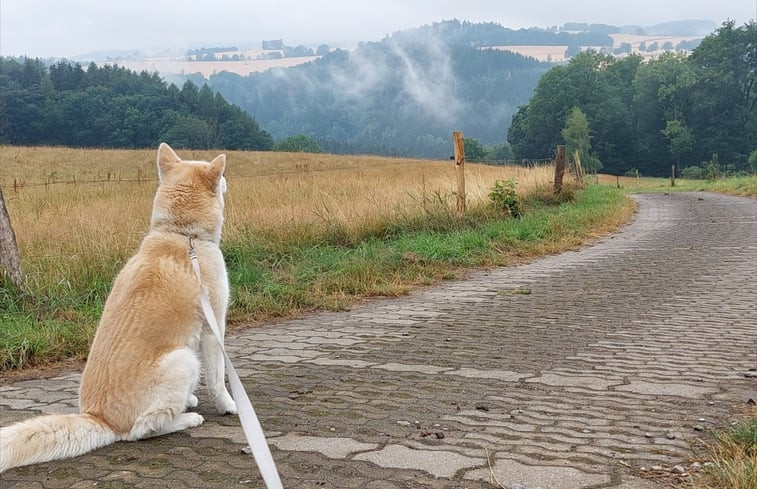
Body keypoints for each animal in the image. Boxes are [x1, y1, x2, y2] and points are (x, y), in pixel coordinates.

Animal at [0, 143, 236, 470]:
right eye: (221, 174)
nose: (229, 180)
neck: (182, 235)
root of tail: (100, 419)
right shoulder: (213, 329)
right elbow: (217, 378)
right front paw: (228, 406)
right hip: (184, 359)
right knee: (142, 430)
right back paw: (186, 419)